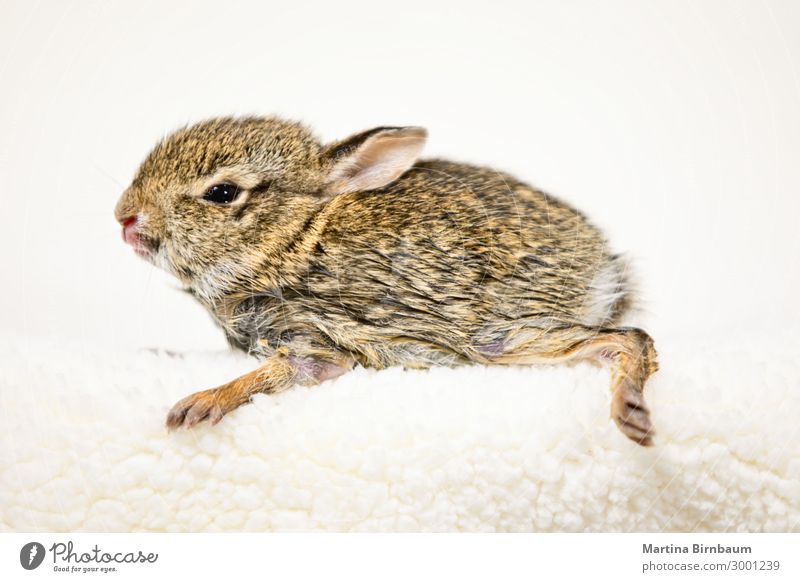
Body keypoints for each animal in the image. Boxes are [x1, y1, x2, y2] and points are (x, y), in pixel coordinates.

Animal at [115, 117, 660, 448]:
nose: (124, 217)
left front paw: (197, 405)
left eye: (222, 193)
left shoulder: (314, 336)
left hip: (495, 337)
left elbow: (282, 372)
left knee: (629, 339)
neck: (291, 238)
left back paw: (631, 412)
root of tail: (604, 271)